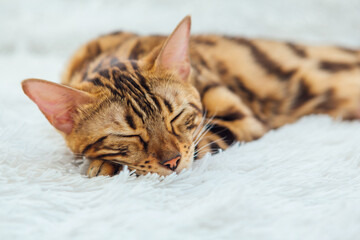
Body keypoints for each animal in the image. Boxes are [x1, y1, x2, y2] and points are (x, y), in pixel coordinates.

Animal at [21, 15, 360, 177]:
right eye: (127, 135)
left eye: (176, 116)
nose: (171, 161)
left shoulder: (241, 118)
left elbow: (201, 142)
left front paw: (108, 166)